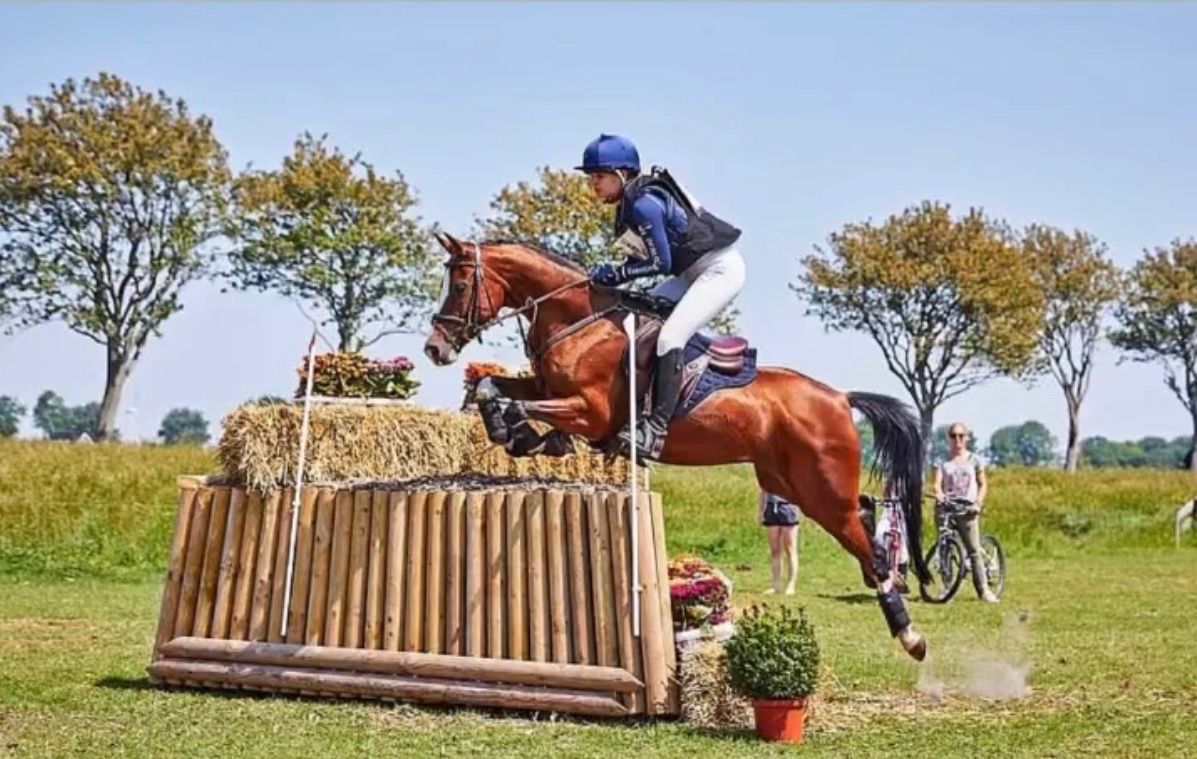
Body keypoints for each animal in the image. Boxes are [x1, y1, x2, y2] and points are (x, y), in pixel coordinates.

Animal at [423, 233, 930, 661]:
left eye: (461, 284)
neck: (578, 321)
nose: (434, 349)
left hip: (821, 490)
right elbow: (489, 386)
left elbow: (513, 402)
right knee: (865, 512)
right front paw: (522, 435)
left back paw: (911, 635)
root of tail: (840, 397)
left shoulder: (588, 411)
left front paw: (525, 434)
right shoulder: (548, 390)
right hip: (790, 482)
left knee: (870, 546)